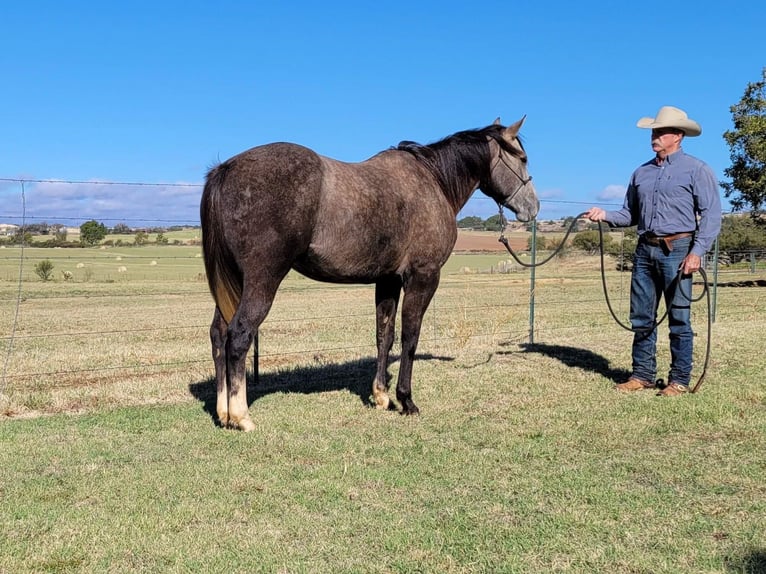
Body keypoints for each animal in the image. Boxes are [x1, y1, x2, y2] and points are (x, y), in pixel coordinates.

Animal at [202, 117, 540, 432]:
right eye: (523, 158)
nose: (533, 208)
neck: (433, 181)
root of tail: (226, 168)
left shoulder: (388, 280)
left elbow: (384, 336)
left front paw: (381, 396)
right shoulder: (423, 277)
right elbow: (409, 337)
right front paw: (406, 400)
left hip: (234, 283)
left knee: (219, 334)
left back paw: (223, 412)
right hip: (262, 280)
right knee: (239, 335)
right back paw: (241, 416)